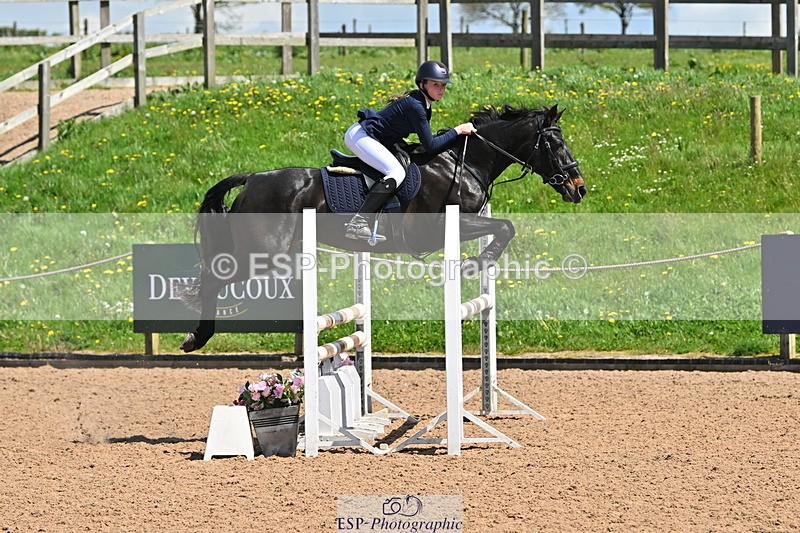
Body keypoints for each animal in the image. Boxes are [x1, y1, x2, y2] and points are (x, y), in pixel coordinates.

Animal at [179, 103, 586, 352]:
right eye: (554, 142)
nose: (578, 188)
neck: (465, 161)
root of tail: (252, 179)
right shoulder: (437, 227)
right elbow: (505, 226)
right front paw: (476, 263)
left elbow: (503, 226)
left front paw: (479, 262)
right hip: (262, 254)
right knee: (213, 280)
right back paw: (196, 338)